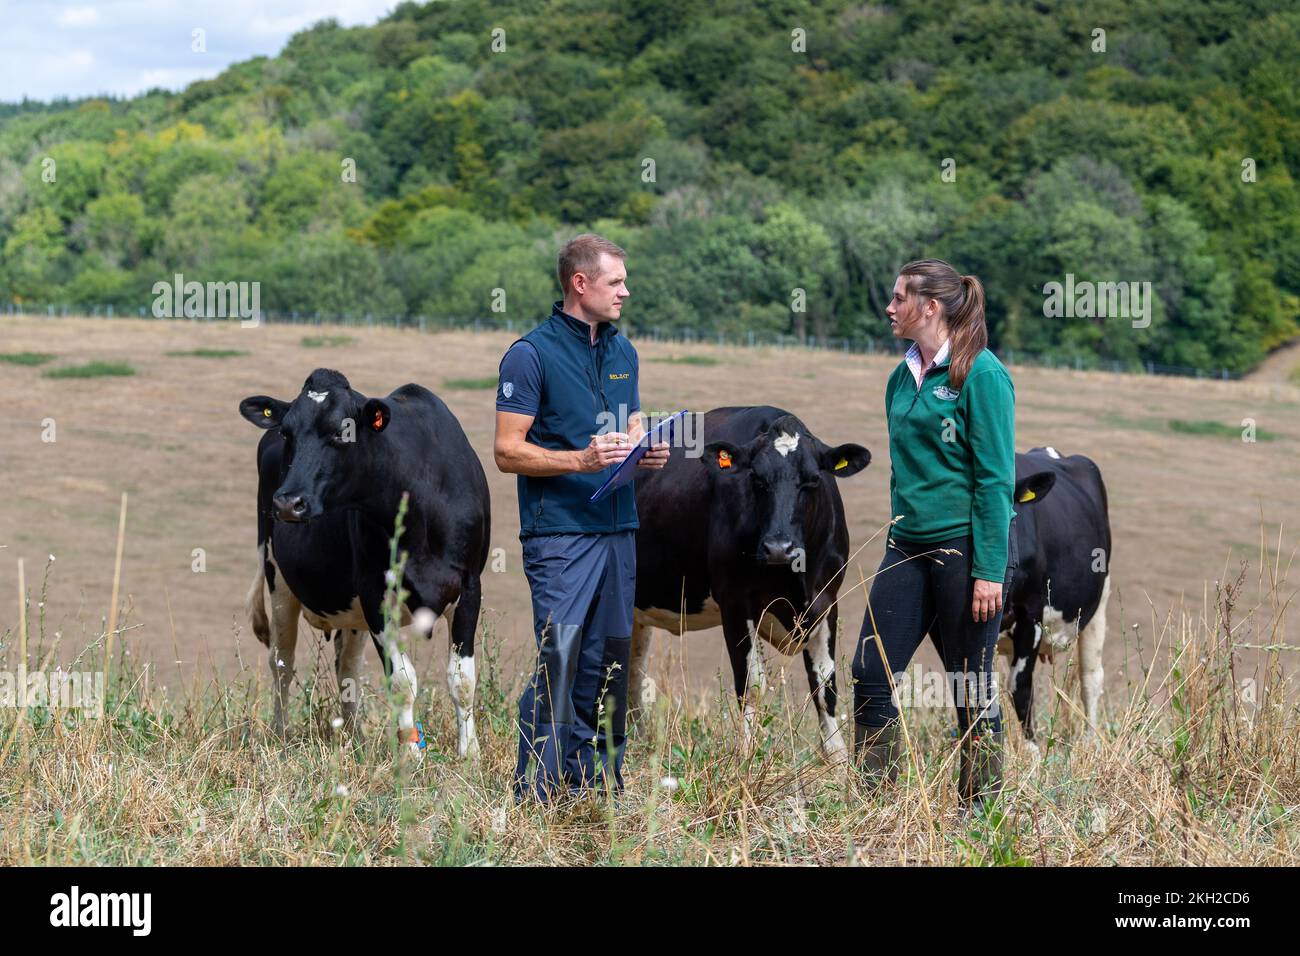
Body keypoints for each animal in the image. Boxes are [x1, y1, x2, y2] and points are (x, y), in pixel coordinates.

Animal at [241, 369, 488, 759]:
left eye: (342, 431)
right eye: (287, 432)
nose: (288, 503)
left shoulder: (469, 586)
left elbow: (462, 679)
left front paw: (470, 755)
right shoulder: (376, 595)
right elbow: (402, 681)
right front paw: (411, 758)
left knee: (348, 667)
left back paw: (353, 736)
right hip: (278, 577)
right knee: (282, 662)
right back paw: (281, 736)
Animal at [631, 408, 868, 759]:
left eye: (813, 479)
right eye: (756, 479)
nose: (779, 548)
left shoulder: (826, 601)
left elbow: (825, 686)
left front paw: (839, 765)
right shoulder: (735, 602)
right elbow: (751, 684)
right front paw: (748, 757)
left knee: (632, 671)